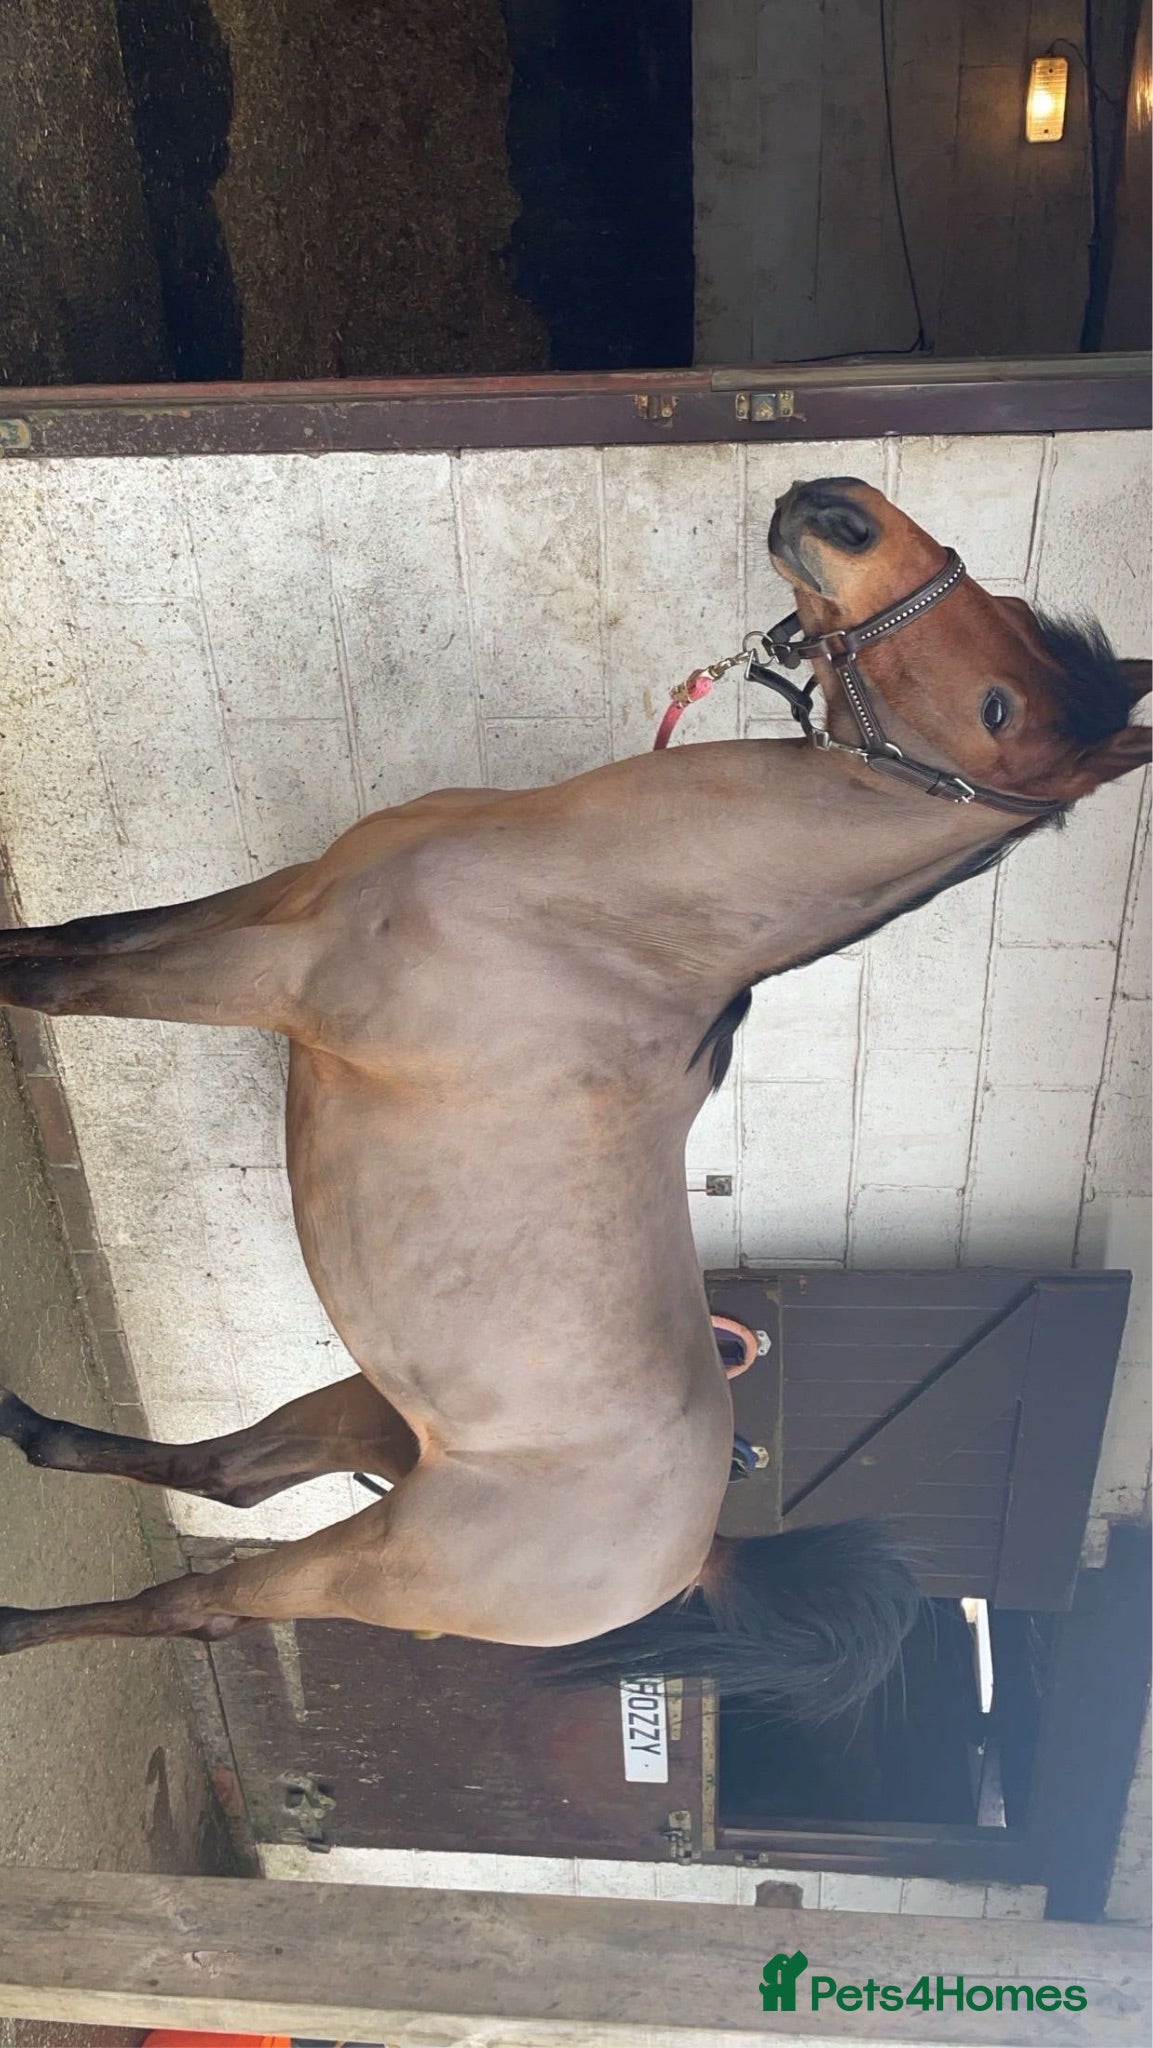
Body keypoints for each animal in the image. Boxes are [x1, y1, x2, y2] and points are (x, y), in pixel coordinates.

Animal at [0, 476, 1147, 1723]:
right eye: (1011, 621)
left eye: (997, 706)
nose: (840, 510)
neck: (599, 921)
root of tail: (694, 1552)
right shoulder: (284, 902)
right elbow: (83, 936)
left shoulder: (272, 975)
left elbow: (58, 981)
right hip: (374, 1413)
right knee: (230, 1473)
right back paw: (26, 1429)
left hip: (383, 1556)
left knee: (199, 1600)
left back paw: (15, 1619)